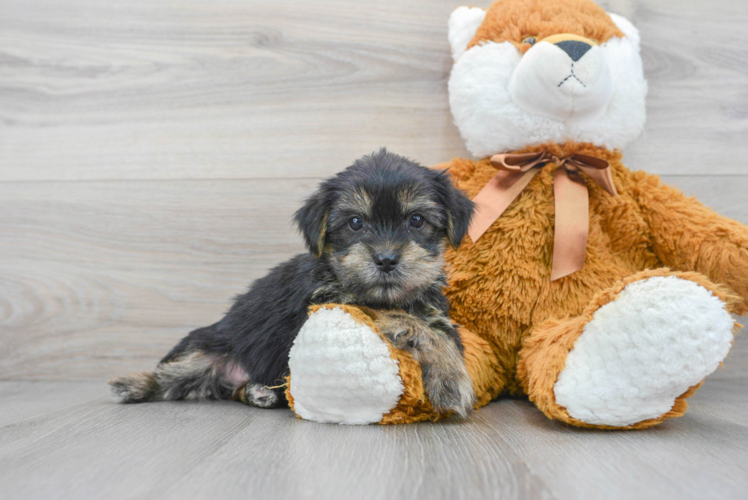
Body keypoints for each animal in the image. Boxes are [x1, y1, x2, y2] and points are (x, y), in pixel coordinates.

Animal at [108, 149, 476, 418]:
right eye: (356, 223)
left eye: (417, 220)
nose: (386, 259)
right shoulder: (331, 301)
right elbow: (401, 318)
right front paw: (453, 383)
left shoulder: (434, 312)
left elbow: (438, 332)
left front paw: (450, 373)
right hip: (206, 349)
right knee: (172, 375)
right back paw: (132, 384)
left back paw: (258, 392)